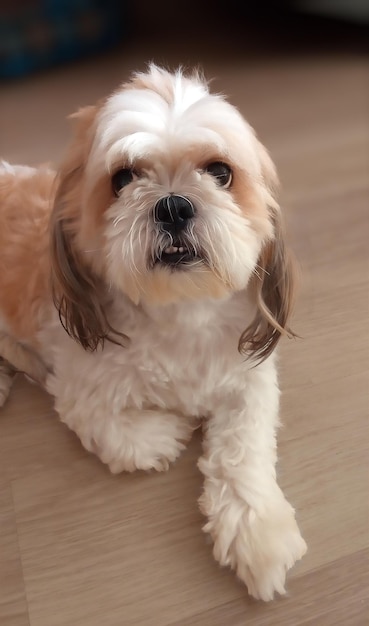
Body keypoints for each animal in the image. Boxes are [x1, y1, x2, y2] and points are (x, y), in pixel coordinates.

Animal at [0, 64, 304, 600]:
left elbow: (243, 450)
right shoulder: (82, 390)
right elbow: (124, 437)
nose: (173, 206)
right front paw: (171, 429)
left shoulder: (249, 380)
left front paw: (258, 531)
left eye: (219, 172)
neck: (179, 312)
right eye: (122, 179)